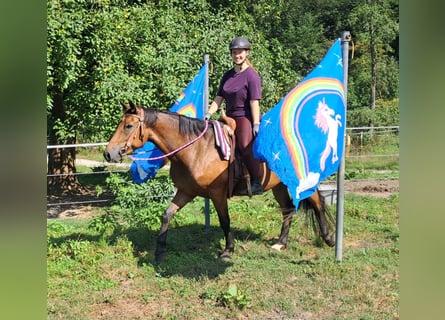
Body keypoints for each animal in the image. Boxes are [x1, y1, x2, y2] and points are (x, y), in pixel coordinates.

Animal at [104, 102, 332, 262]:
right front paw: (160, 252)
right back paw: (281, 243)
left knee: (317, 204)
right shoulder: (186, 191)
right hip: (279, 187)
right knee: (288, 210)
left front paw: (228, 250)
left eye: (129, 125)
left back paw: (328, 238)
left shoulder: (217, 194)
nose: (108, 153)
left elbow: (225, 221)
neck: (196, 149)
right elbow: (167, 215)